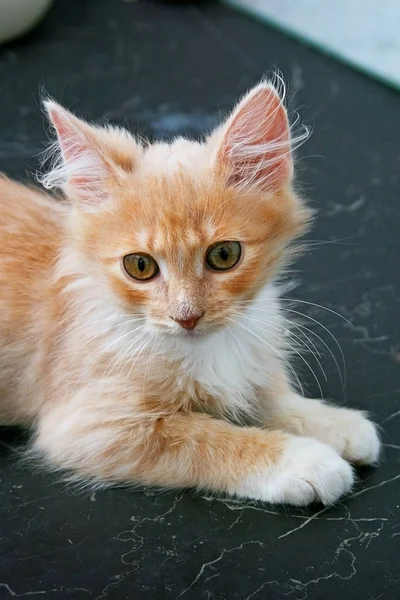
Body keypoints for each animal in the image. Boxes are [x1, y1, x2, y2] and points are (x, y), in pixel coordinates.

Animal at [0, 79, 380, 502]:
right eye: (140, 266)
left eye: (224, 255)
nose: (187, 316)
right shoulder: (88, 423)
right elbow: (206, 437)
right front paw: (305, 461)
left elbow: (269, 399)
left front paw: (335, 423)